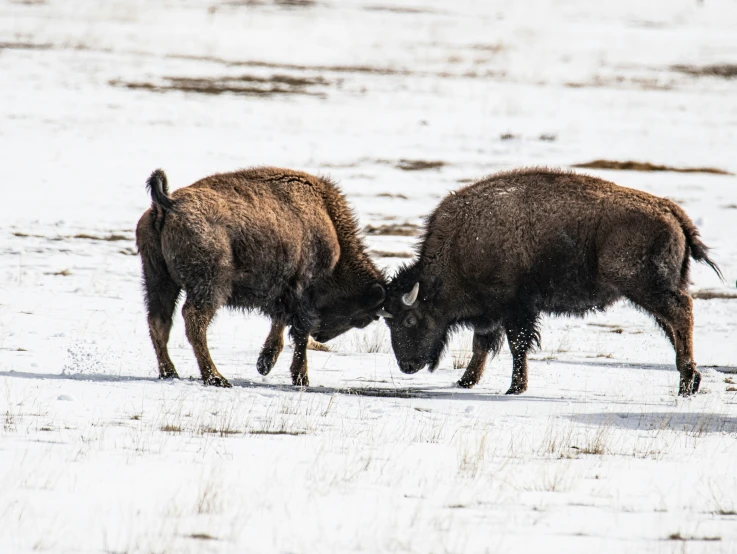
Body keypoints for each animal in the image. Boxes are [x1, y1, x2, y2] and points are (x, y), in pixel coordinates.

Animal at [135, 166, 386, 386]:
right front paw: (301, 378)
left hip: (158, 279)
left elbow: (280, 324)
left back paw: (170, 373)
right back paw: (216, 378)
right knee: (193, 320)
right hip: (210, 285)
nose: (322, 336)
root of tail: (167, 204)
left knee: (159, 321)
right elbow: (300, 335)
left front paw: (265, 364)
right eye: (362, 316)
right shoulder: (302, 295)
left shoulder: (284, 294)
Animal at [382, 166, 720, 394]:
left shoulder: (516, 308)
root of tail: (670, 210)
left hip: (645, 286)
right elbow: (482, 345)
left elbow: (517, 345)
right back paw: (690, 381)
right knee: (673, 325)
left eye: (410, 319)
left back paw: (686, 383)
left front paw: (515, 388)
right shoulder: (492, 313)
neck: (462, 245)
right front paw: (465, 381)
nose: (407, 366)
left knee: (681, 314)